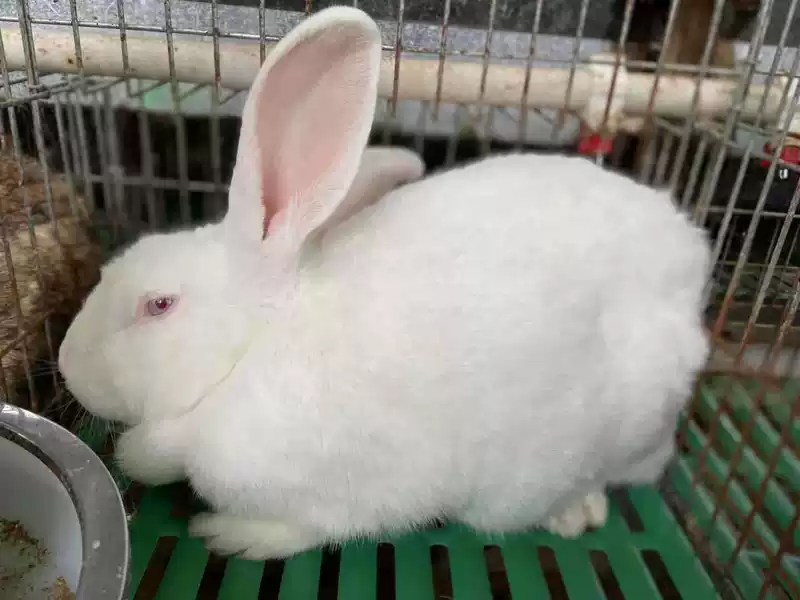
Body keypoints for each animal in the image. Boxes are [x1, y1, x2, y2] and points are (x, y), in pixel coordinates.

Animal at [58, 6, 711, 559]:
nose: (65, 364)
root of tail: (692, 254)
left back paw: (576, 511)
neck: (251, 353)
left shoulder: (341, 495)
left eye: (158, 305)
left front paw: (227, 535)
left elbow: (309, 527)